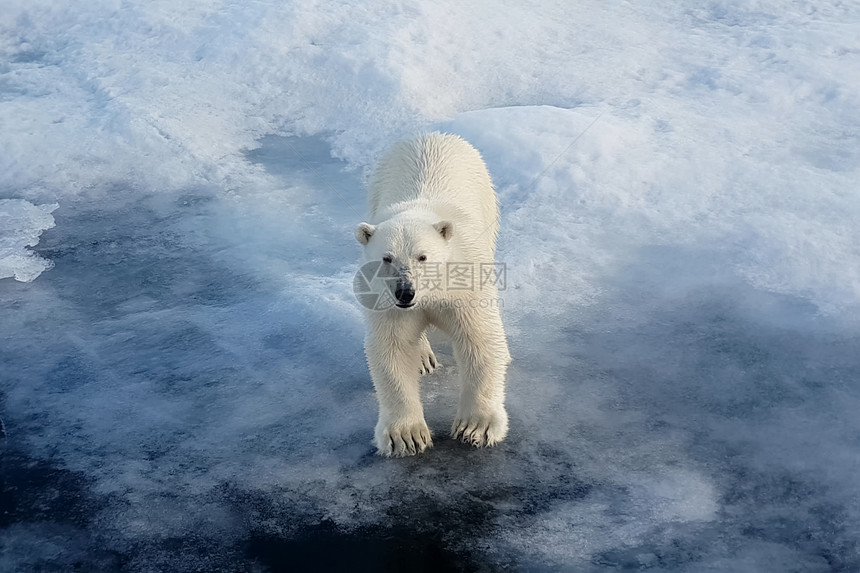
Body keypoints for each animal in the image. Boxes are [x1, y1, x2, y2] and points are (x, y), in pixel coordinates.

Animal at [356, 133, 510, 456]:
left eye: (422, 256)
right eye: (387, 258)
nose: (405, 292)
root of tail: (429, 134)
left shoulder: (465, 285)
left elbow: (479, 340)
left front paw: (475, 427)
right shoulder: (386, 303)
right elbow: (393, 349)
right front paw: (407, 436)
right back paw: (424, 358)